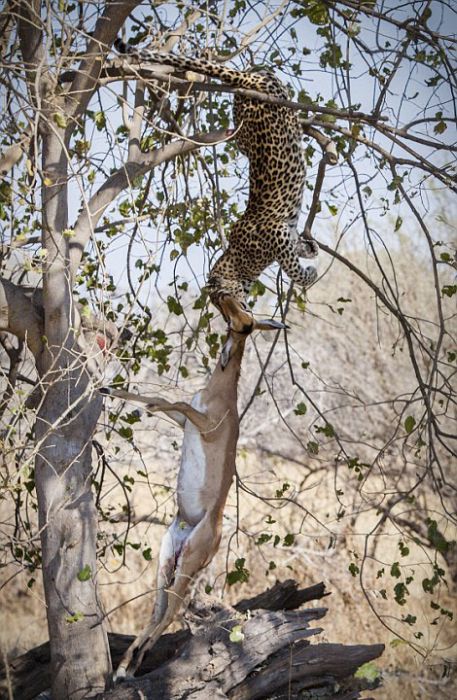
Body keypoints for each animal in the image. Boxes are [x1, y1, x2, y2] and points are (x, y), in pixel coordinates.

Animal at [113, 39, 318, 332]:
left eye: (220, 300)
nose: (231, 320)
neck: (237, 262)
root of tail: (246, 83)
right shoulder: (284, 231)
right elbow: (295, 250)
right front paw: (310, 250)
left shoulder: (275, 232)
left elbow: (292, 267)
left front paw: (309, 273)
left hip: (266, 99)